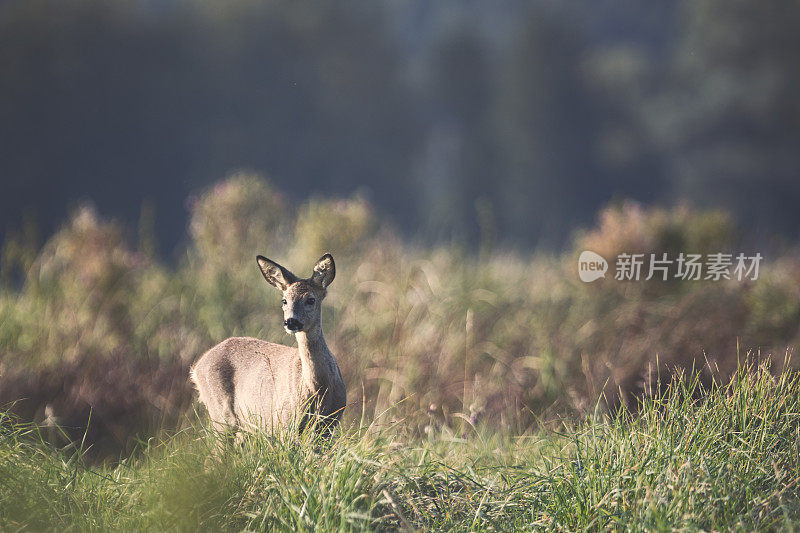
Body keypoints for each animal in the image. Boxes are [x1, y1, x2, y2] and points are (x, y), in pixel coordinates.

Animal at [193, 254, 346, 436]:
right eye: (284, 300)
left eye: (311, 299)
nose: (291, 321)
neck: (318, 388)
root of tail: (196, 367)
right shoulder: (284, 422)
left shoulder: (330, 424)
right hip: (221, 416)